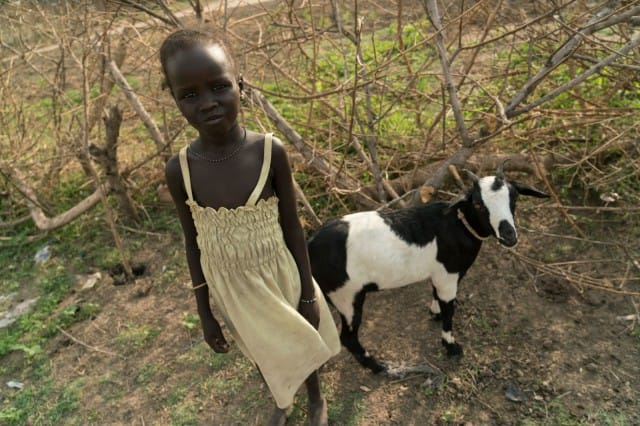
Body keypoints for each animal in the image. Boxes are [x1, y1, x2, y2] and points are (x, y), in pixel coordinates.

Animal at [307, 165, 549, 374]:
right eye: (479, 204)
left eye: (514, 197)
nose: (509, 236)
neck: (457, 224)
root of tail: (310, 245)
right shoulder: (449, 275)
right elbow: (449, 310)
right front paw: (451, 346)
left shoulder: (440, 273)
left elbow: (435, 293)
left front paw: (434, 313)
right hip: (346, 295)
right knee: (348, 338)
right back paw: (377, 366)